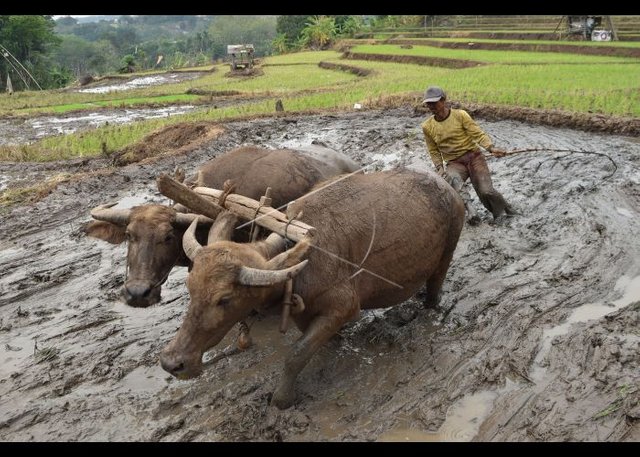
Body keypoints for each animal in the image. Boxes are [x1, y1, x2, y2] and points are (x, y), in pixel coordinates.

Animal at [158, 169, 462, 408]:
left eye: (224, 299)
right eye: (190, 287)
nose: (173, 363)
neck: (301, 257)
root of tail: (448, 188)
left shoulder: (342, 308)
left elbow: (295, 355)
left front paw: (281, 399)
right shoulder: (306, 314)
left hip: (445, 257)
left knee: (435, 288)